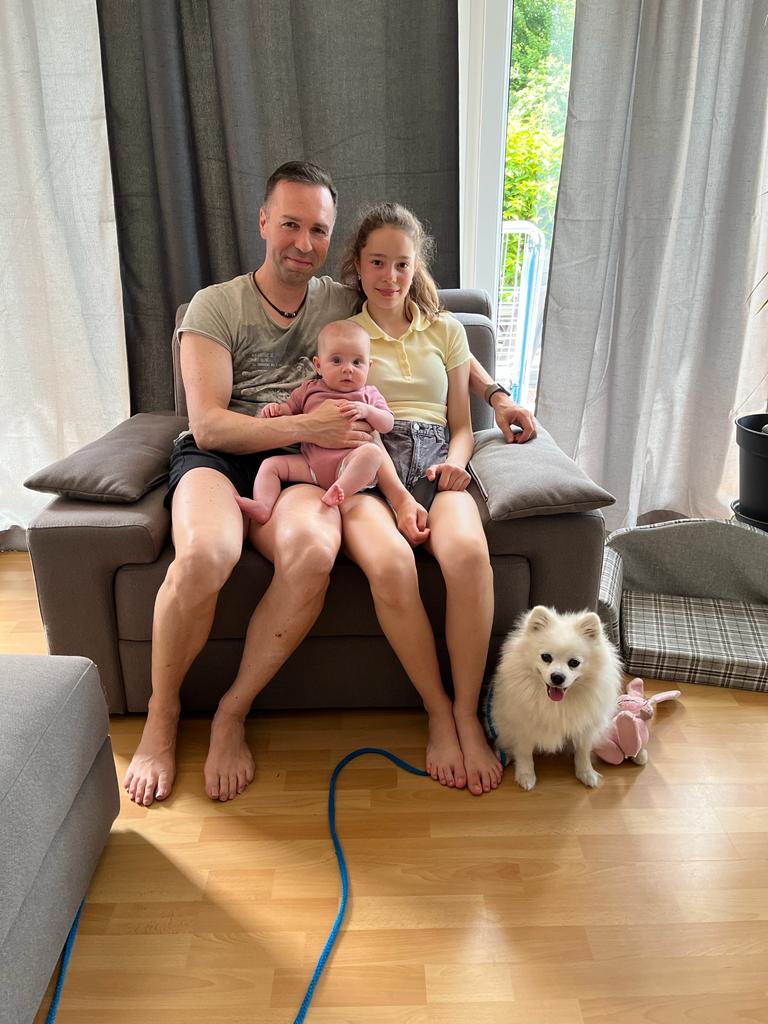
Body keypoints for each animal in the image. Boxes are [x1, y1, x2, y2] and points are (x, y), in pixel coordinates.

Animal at [488, 605, 622, 790]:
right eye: (546, 657)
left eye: (574, 663)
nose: (557, 677)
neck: (557, 704)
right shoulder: (523, 726)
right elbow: (524, 753)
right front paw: (525, 775)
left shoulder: (585, 727)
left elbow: (583, 751)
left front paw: (586, 773)